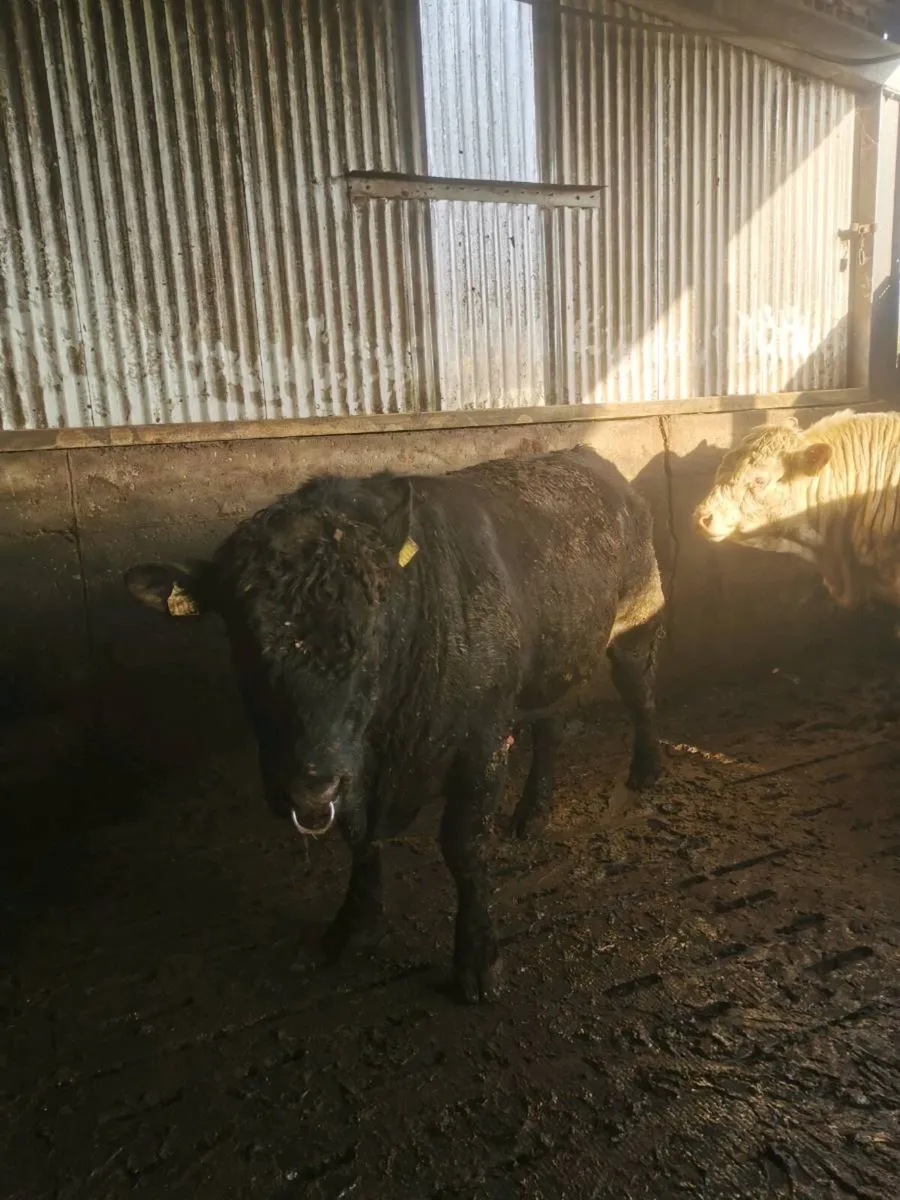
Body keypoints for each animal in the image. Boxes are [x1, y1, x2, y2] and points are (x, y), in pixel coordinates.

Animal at [125, 446, 665, 1003]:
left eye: (373, 630)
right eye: (243, 634)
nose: (308, 784)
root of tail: (588, 458)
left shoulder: (481, 743)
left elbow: (464, 847)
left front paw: (478, 958)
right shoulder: (354, 771)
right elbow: (359, 844)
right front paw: (354, 925)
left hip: (638, 615)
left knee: (639, 690)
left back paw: (646, 768)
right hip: (549, 668)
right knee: (550, 727)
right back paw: (532, 813)